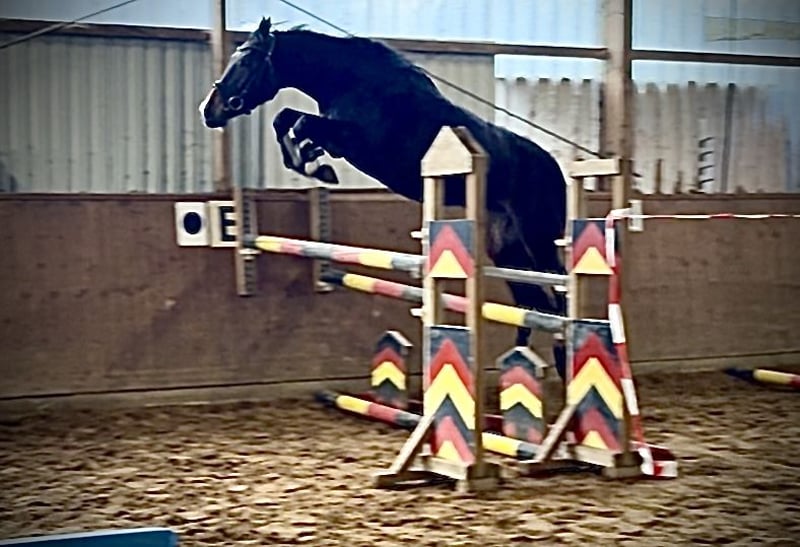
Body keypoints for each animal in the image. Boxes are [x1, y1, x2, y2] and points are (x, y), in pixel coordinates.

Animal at [199, 17, 568, 374]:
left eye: (246, 62)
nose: (208, 110)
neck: (354, 82)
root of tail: (555, 169)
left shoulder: (357, 141)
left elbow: (300, 122)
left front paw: (316, 166)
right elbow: (286, 119)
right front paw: (310, 161)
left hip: (539, 240)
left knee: (559, 297)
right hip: (506, 250)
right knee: (533, 305)